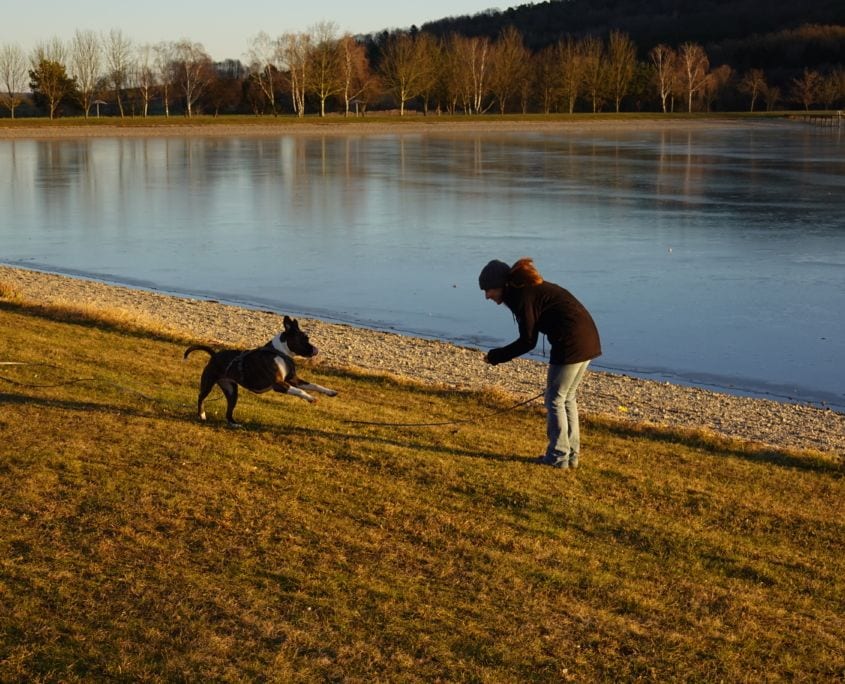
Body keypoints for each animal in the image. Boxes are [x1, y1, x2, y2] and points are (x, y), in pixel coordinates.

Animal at [184, 316, 336, 424]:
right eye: (305, 339)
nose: (316, 350)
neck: (280, 352)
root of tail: (214, 355)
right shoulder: (279, 385)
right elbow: (301, 391)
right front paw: (311, 398)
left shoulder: (294, 380)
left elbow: (314, 385)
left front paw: (330, 392)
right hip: (208, 384)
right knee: (201, 397)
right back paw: (202, 414)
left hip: (232, 391)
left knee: (229, 411)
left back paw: (234, 423)